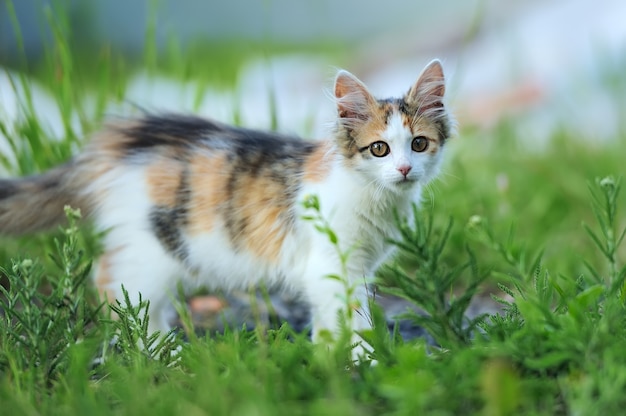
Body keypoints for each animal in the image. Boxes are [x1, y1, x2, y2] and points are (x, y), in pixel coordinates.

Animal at [0, 59, 448, 360]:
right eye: (380, 149)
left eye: (419, 144)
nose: (404, 169)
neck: (377, 197)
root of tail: (120, 139)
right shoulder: (330, 262)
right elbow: (352, 318)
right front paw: (363, 359)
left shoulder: (350, 269)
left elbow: (334, 317)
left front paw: (330, 354)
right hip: (155, 249)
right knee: (112, 279)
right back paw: (157, 350)